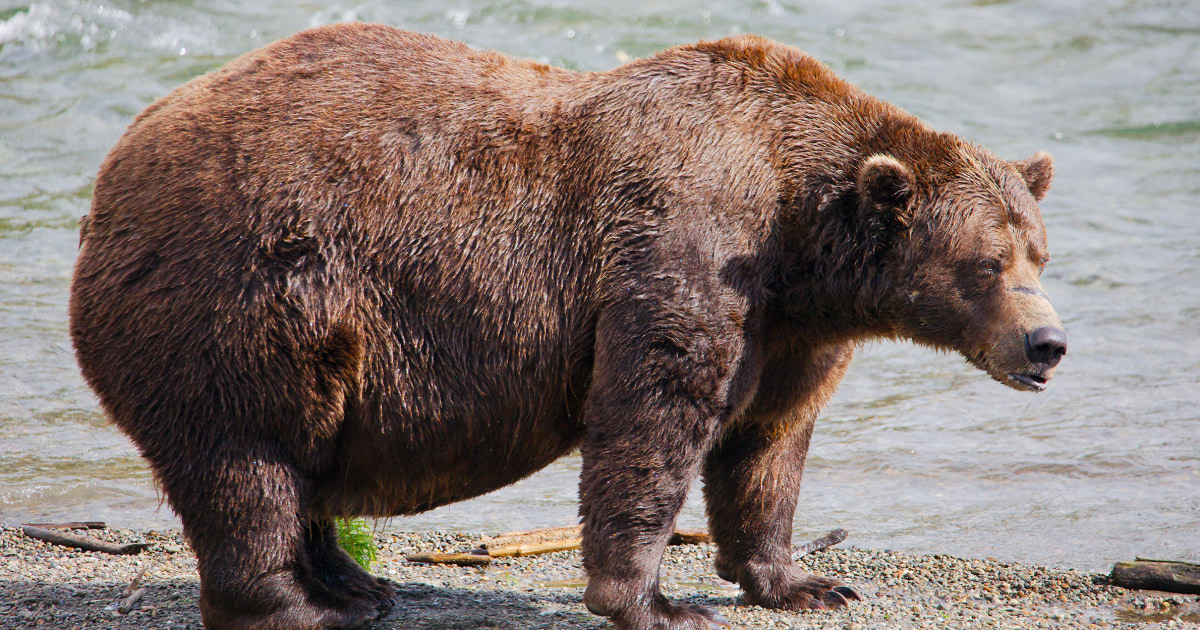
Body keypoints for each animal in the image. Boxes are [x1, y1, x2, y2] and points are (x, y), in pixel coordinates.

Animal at [69, 22, 1067, 630]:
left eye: (1039, 252)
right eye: (988, 262)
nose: (1048, 343)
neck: (798, 234)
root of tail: (109, 177)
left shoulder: (791, 329)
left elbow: (767, 444)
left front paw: (805, 580)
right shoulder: (685, 246)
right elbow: (653, 419)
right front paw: (656, 601)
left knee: (300, 461)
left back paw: (356, 581)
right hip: (244, 297)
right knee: (248, 462)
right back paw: (303, 602)